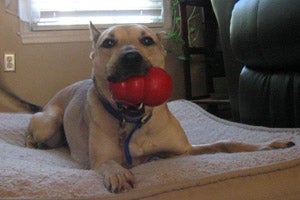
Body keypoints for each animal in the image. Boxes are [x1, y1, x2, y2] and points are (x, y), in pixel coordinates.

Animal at [24, 22, 296, 194]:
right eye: (108, 43)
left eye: (147, 40)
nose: (131, 57)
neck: (134, 123)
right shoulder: (98, 161)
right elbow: (109, 164)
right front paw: (118, 174)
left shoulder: (184, 151)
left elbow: (228, 143)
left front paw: (269, 145)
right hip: (48, 122)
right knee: (33, 131)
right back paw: (32, 143)